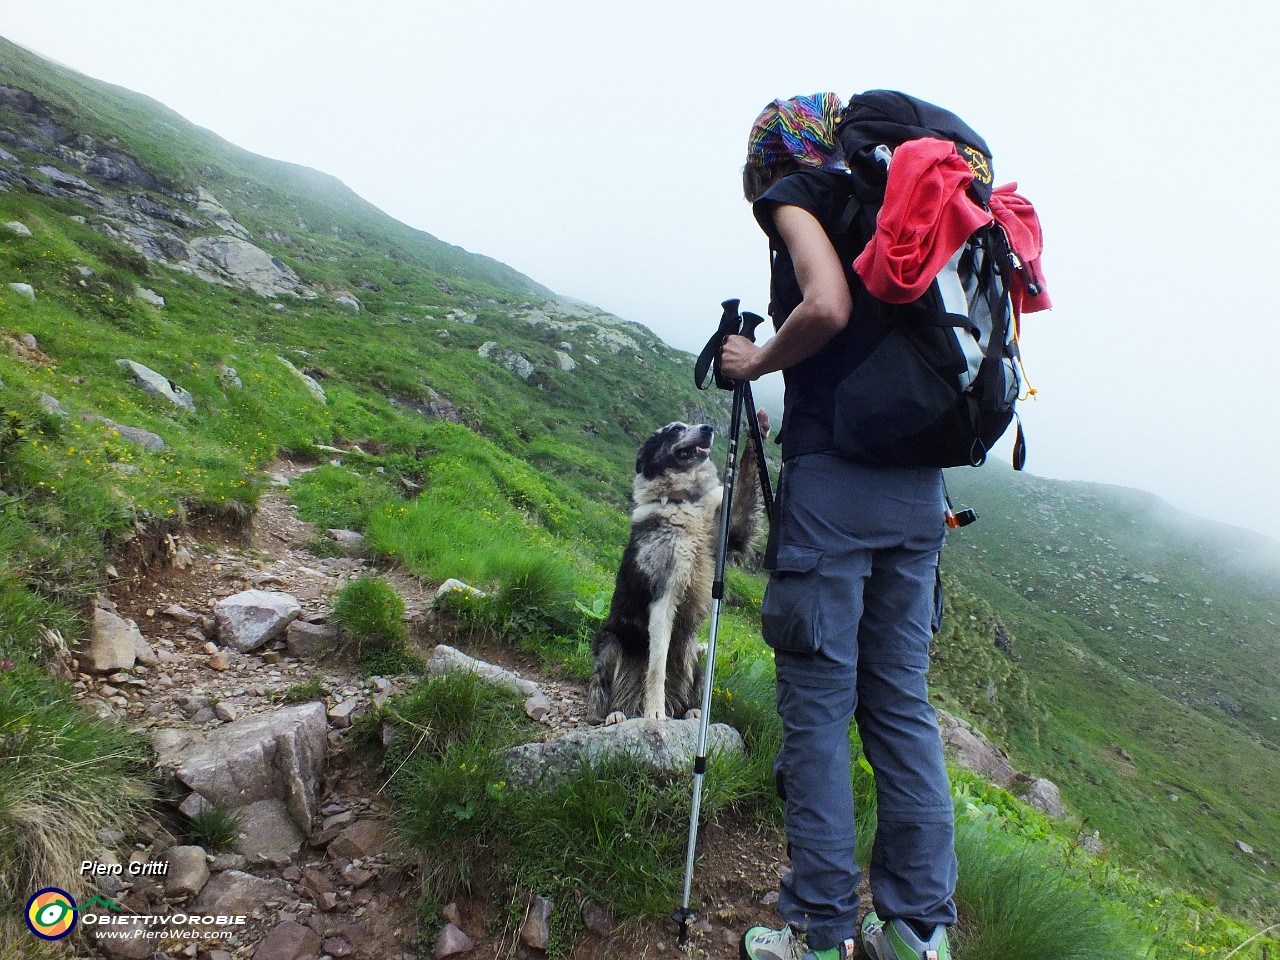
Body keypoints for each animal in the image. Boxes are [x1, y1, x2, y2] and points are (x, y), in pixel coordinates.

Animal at [586, 409, 762, 727]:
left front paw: (758, 434)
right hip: (611, 645)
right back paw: (616, 714)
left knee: (688, 687)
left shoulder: (733, 531)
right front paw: (655, 713)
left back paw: (689, 710)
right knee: (603, 691)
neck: (685, 501)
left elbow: (744, 490)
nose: (708, 428)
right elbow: (657, 667)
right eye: (676, 429)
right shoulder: (664, 596)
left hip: (693, 650)